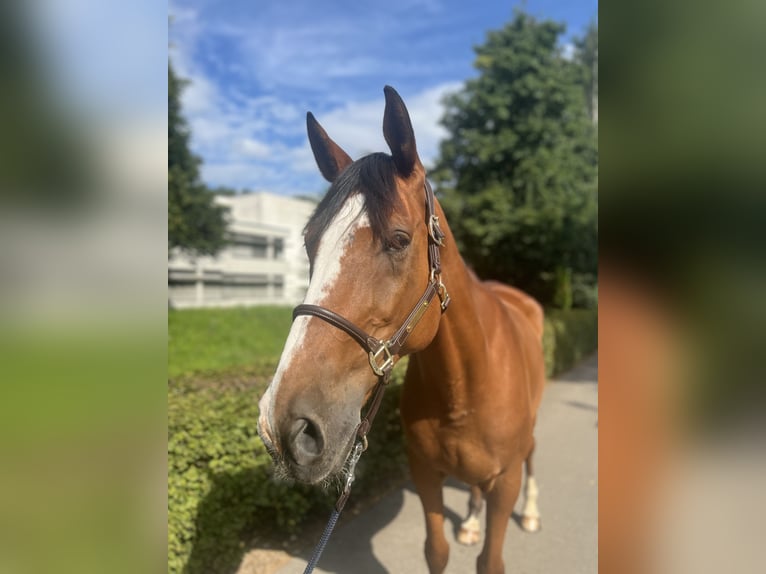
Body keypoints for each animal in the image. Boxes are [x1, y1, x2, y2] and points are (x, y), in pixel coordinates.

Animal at [260, 86, 548, 574]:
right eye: (309, 244)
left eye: (398, 239)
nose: (285, 426)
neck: (465, 389)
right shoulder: (425, 473)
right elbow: (437, 550)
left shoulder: (504, 480)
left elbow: (490, 560)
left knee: (532, 457)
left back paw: (531, 511)